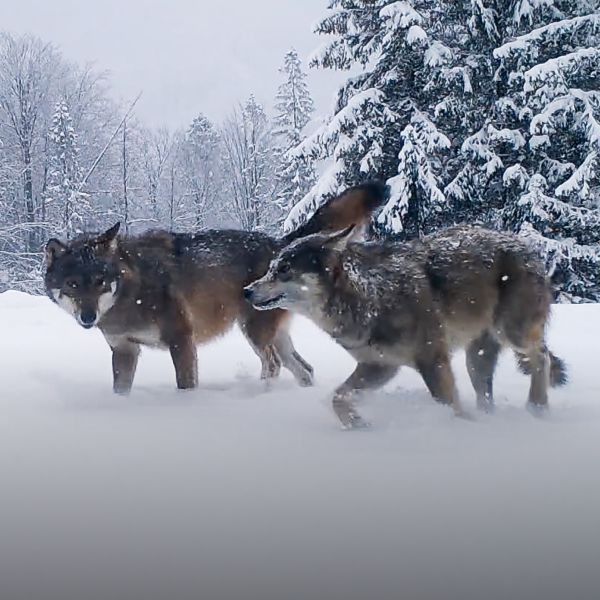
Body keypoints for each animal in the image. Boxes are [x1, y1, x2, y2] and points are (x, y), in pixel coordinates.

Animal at [44, 180, 386, 394]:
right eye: (73, 284)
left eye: (100, 282)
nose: (88, 317)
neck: (131, 293)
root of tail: (280, 245)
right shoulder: (124, 350)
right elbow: (120, 390)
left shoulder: (181, 339)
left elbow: (185, 384)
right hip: (274, 337)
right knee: (305, 370)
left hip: (255, 332)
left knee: (273, 365)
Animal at [244, 224, 568, 426]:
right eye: (271, 268)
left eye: (284, 269)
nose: (246, 291)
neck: (370, 296)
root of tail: (526, 246)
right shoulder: (380, 366)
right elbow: (338, 397)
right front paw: (357, 424)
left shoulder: (432, 360)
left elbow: (448, 404)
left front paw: (462, 429)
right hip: (477, 359)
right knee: (487, 393)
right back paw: (491, 418)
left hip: (512, 333)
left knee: (542, 357)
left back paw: (536, 408)